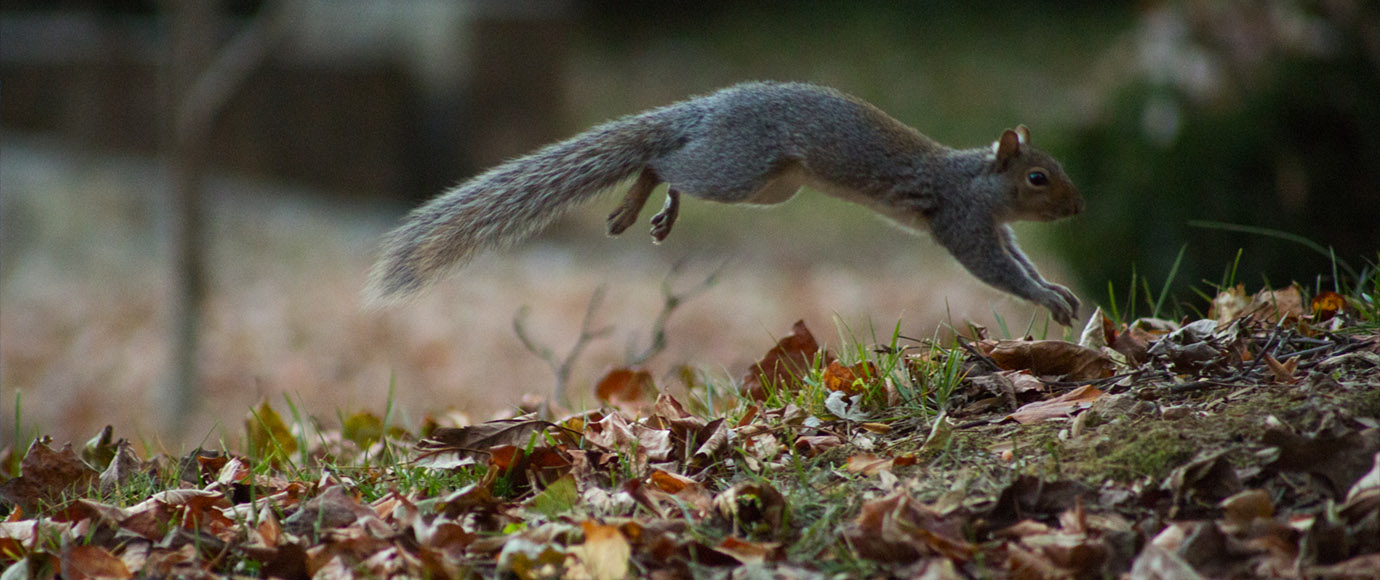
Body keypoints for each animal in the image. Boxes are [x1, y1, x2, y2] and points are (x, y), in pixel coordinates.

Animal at [372, 81, 1081, 325]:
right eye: (1039, 177)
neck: (979, 181)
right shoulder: (963, 221)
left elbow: (1018, 262)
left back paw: (652, 207)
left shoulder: (995, 227)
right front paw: (1046, 299)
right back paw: (641, 200)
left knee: (674, 165)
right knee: (665, 162)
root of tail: (710, 108)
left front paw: (1057, 291)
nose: (1078, 209)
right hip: (742, 168)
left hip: (772, 184)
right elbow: (994, 271)